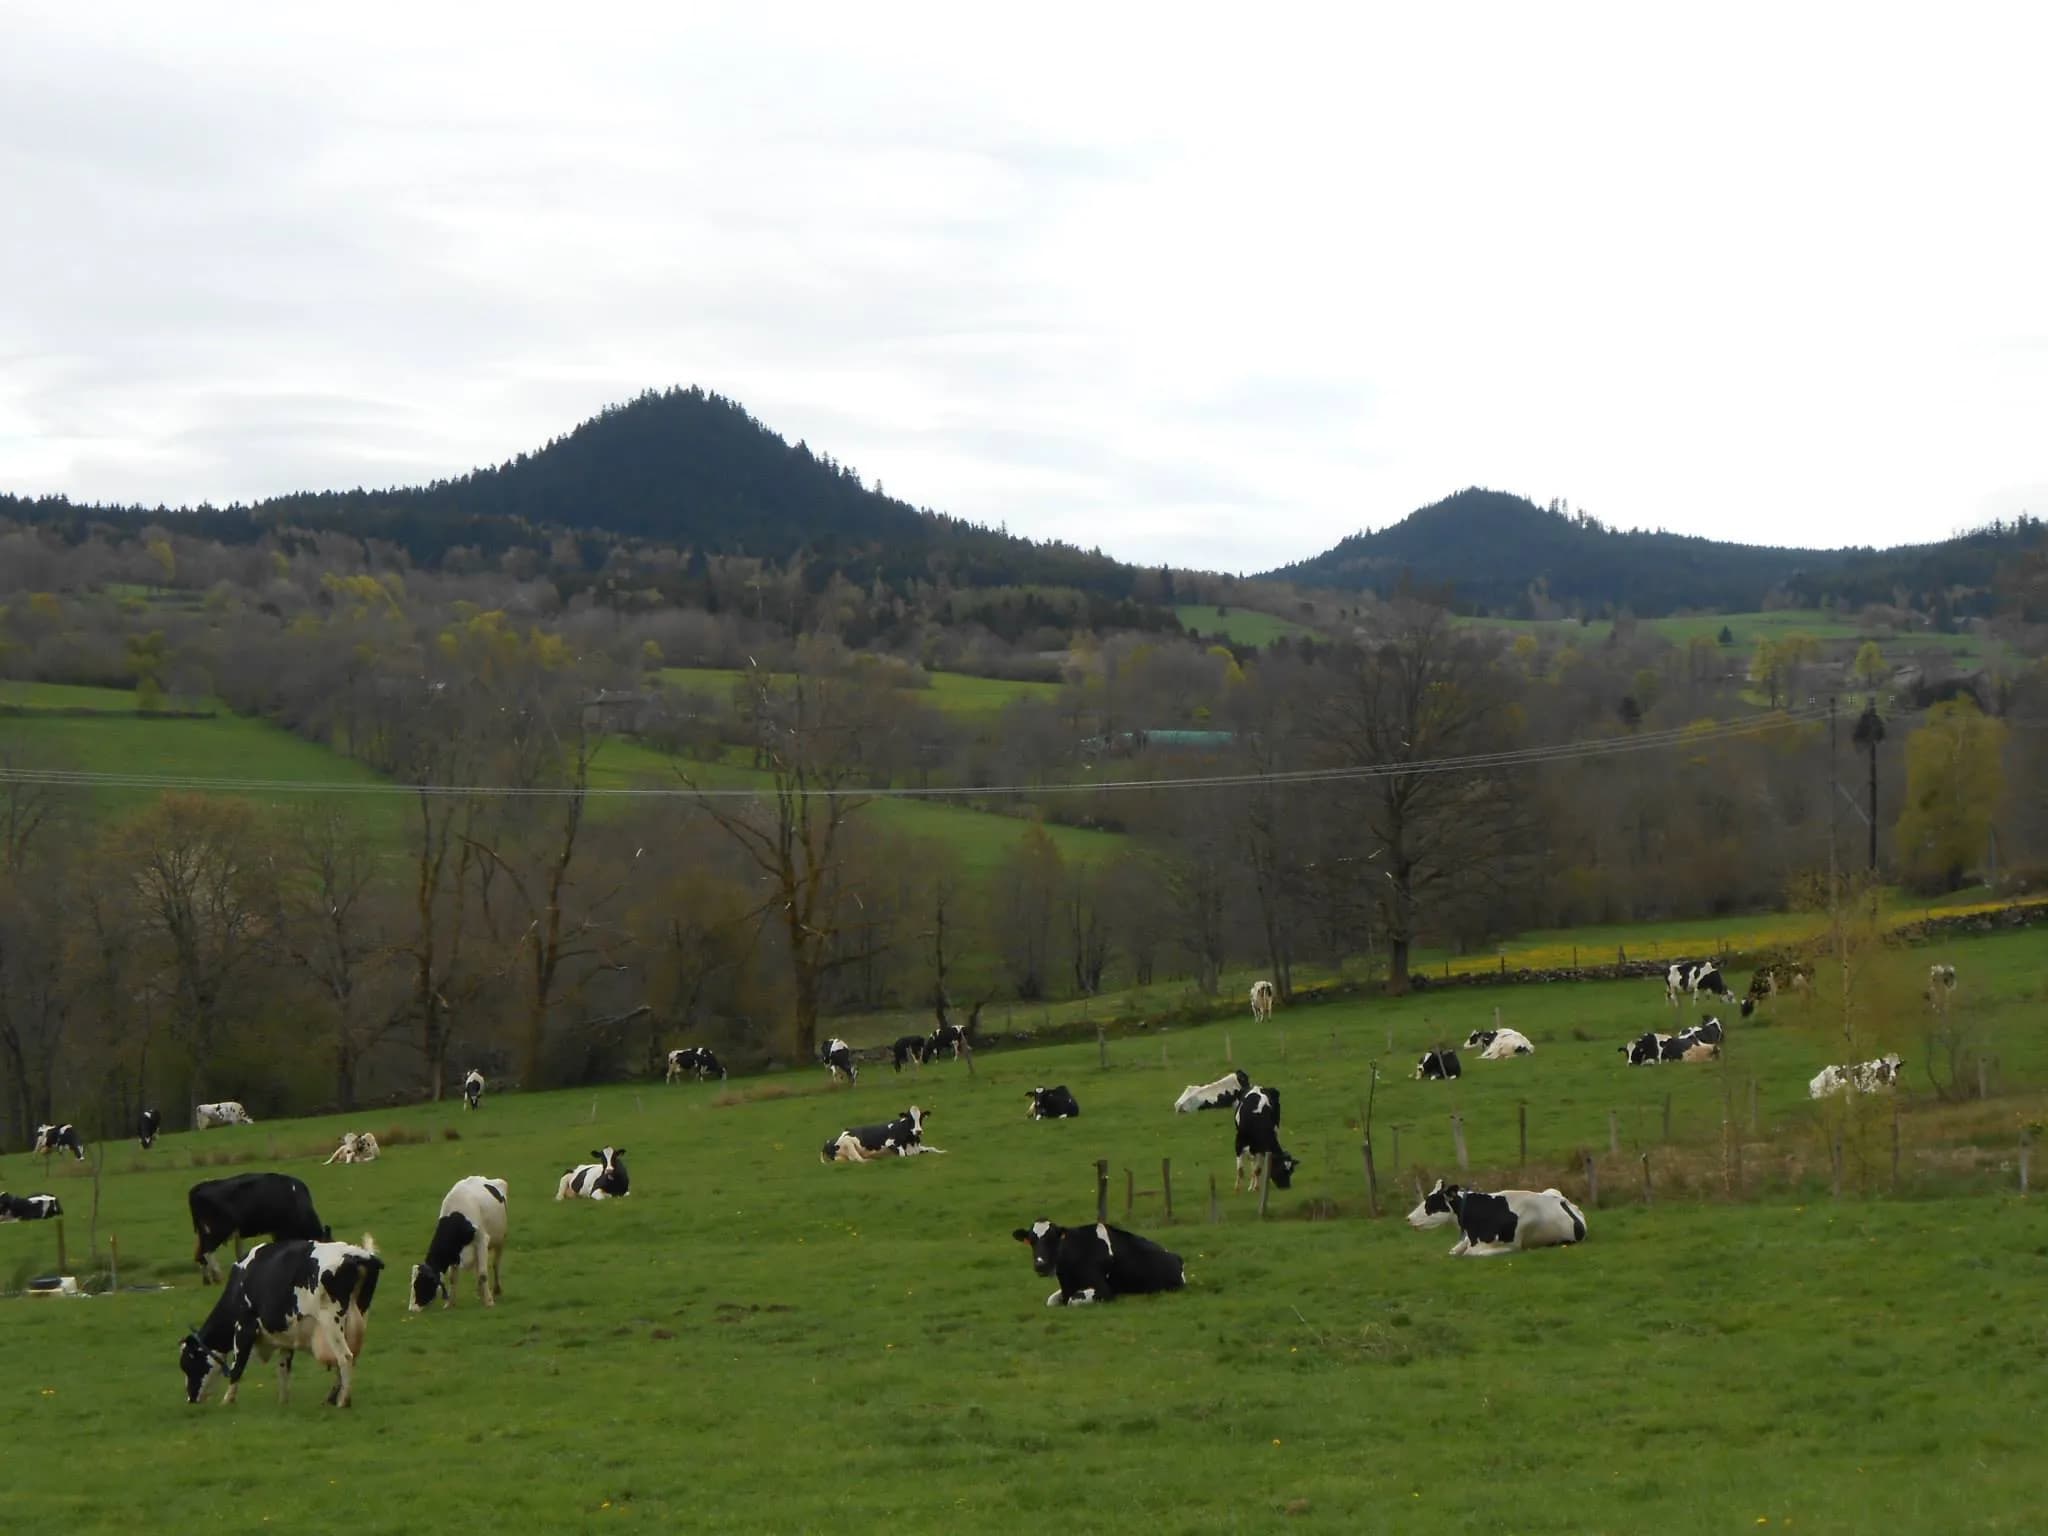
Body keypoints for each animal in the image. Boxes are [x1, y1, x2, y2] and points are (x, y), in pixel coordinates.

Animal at [179, 1235, 384, 1408]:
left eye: (187, 1364)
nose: (190, 1398)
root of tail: (356, 1255)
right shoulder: (286, 1336)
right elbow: (283, 1369)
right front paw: (283, 1402)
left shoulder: (244, 1327)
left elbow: (238, 1367)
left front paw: (227, 1400)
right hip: (359, 1315)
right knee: (350, 1357)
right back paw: (332, 1397)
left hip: (330, 1321)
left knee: (345, 1357)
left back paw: (343, 1401)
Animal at [188, 1172, 333, 1284]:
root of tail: (199, 1187)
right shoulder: (281, 1230)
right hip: (217, 1230)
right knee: (207, 1252)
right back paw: (218, 1276)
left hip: (204, 1232)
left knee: (200, 1254)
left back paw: (207, 1279)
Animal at [409, 1175, 509, 1311]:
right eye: (413, 1283)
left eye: (421, 1283)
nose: (412, 1309)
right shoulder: (453, 1252)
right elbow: (453, 1278)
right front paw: (450, 1304)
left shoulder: (482, 1240)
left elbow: (483, 1274)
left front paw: (489, 1302)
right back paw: (480, 1293)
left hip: (500, 1239)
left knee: (495, 1264)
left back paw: (496, 1290)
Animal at [1010, 1219, 1186, 1307]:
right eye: (1031, 1241)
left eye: (1053, 1238)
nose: (1040, 1265)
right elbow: (1051, 1301)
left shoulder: (1104, 1290)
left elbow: (1073, 1300)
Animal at [1406, 1179, 1588, 1257]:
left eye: (1431, 1202)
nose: (1408, 1218)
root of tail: (1563, 1200)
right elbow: (1455, 1251)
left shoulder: (1512, 1246)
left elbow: (1471, 1253)